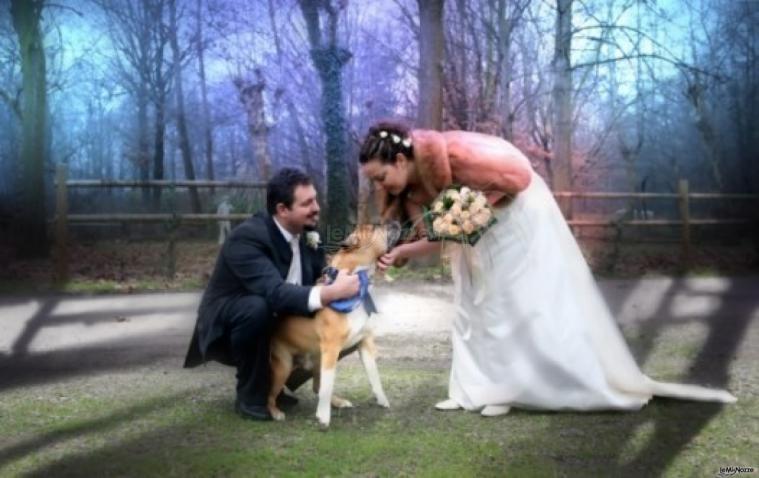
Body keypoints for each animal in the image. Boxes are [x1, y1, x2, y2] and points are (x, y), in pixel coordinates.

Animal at [268, 222, 400, 428]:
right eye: (374, 227)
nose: (395, 222)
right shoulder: (331, 349)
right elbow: (328, 385)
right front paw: (323, 416)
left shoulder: (364, 344)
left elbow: (374, 376)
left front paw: (382, 399)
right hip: (283, 366)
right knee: (270, 394)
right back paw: (275, 412)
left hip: (317, 359)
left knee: (316, 386)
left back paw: (338, 402)